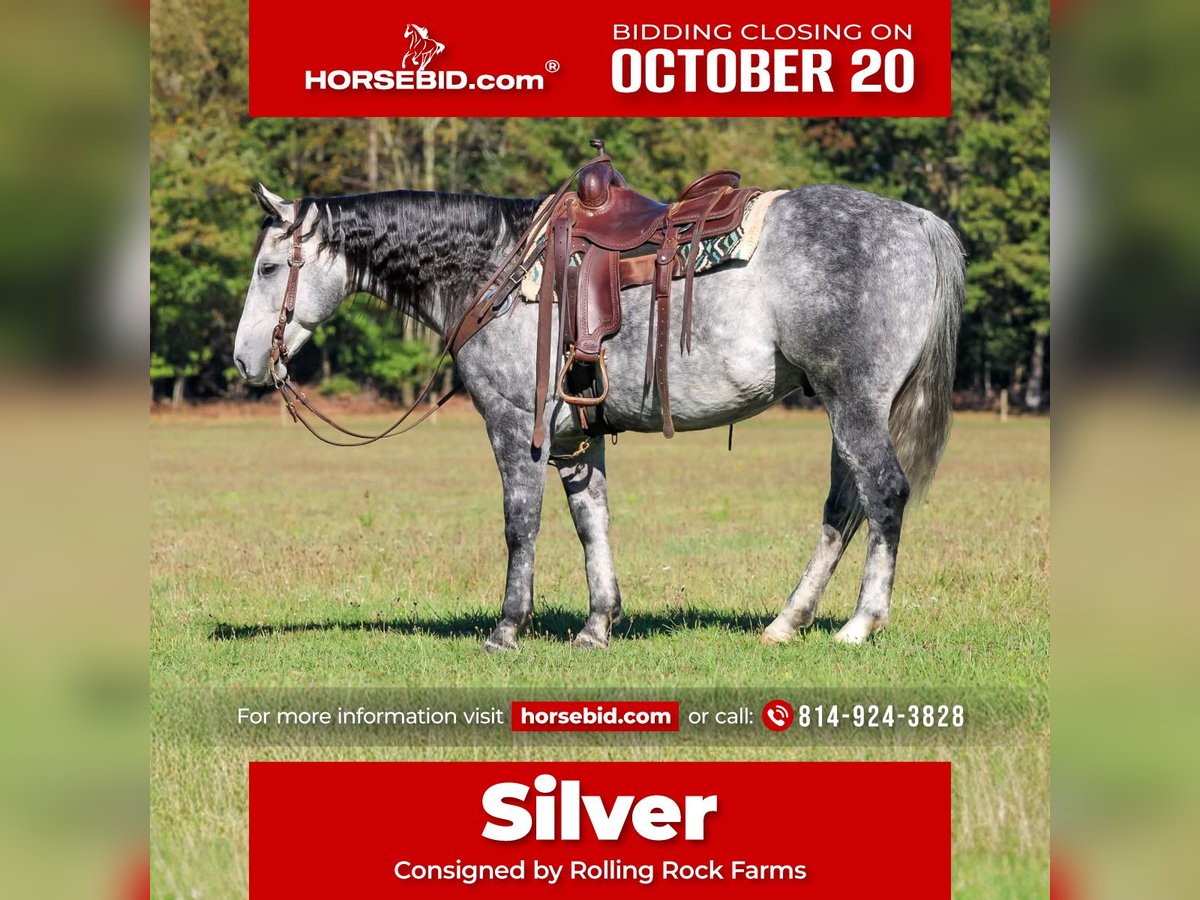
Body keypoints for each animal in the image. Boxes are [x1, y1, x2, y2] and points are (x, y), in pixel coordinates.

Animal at [233, 178, 964, 652]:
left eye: (268, 267)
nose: (243, 359)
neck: (494, 270)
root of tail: (916, 222)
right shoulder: (576, 440)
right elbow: (592, 524)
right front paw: (598, 624)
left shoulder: (515, 427)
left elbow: (520, 525)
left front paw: (508, 628)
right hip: (845, 410)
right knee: (843, 507)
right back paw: (788, 621)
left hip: (855, 404)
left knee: (883, 495)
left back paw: (860, 623)